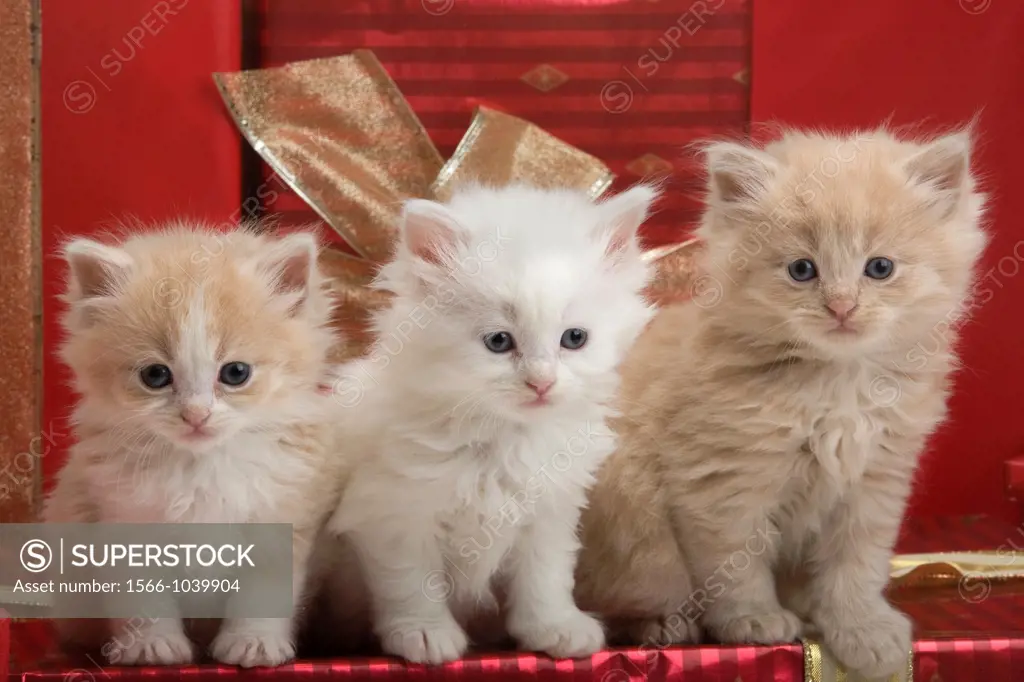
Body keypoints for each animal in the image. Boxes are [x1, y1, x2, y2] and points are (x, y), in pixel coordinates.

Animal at [44, 223, 342, 663]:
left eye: (236, 373)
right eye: (155, 375)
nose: (196, 415)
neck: (201, 469)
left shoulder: (281, 515)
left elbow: (263, 593)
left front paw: (253, 643)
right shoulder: (120, 519)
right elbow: (142, 598)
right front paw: (152, 646)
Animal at [329, 183, 663, 659]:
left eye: (574, 339)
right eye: (499, 342)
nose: (541, 382)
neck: (505, 437)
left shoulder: (550, 511)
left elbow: (545, 576)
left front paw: (555, 628)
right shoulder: (393, 514)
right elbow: (412, 583)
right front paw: (424, 634)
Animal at [573, 127, 987, 675]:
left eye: (879, 268)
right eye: (801, 270)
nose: (841, 306)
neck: (838, 384)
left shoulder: (876, 481)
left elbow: (857, 566)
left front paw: (862, 629)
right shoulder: (722, 484)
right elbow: (736, 563)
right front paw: (754, 620)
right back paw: (662, 625)